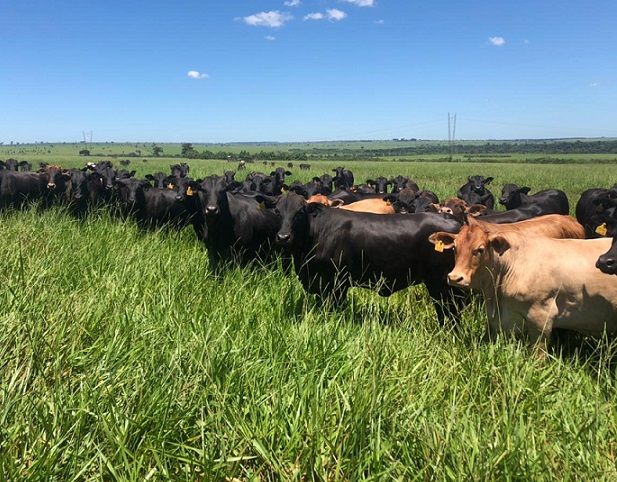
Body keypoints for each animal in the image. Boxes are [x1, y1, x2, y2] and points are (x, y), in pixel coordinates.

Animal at [268, 192, 464, 324]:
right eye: (277, 211)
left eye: (300, 212)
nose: (283, 237)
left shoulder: (336, 283)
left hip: (442, 285)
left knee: (449, 314)